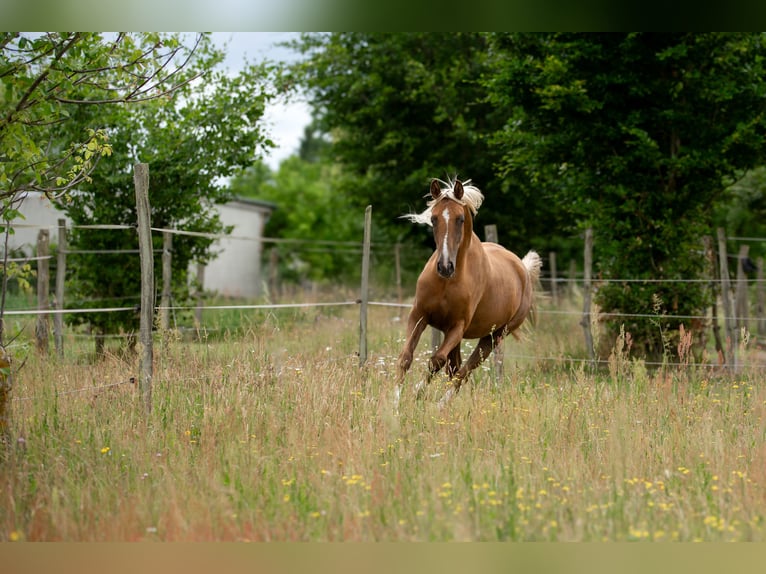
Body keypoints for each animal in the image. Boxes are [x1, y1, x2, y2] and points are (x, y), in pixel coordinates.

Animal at [395, 177, 542, 406]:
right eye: (434, 219)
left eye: (460, 219)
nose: (445, 266)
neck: (447, 283)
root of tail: (523, 269)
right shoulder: (419, 315)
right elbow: (406, 357)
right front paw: (395, 402)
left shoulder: (458, 326)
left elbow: (436, 360)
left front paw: (417, 392)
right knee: (455, 368)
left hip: (494, 336)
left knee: (464, 371)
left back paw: (441, 405)